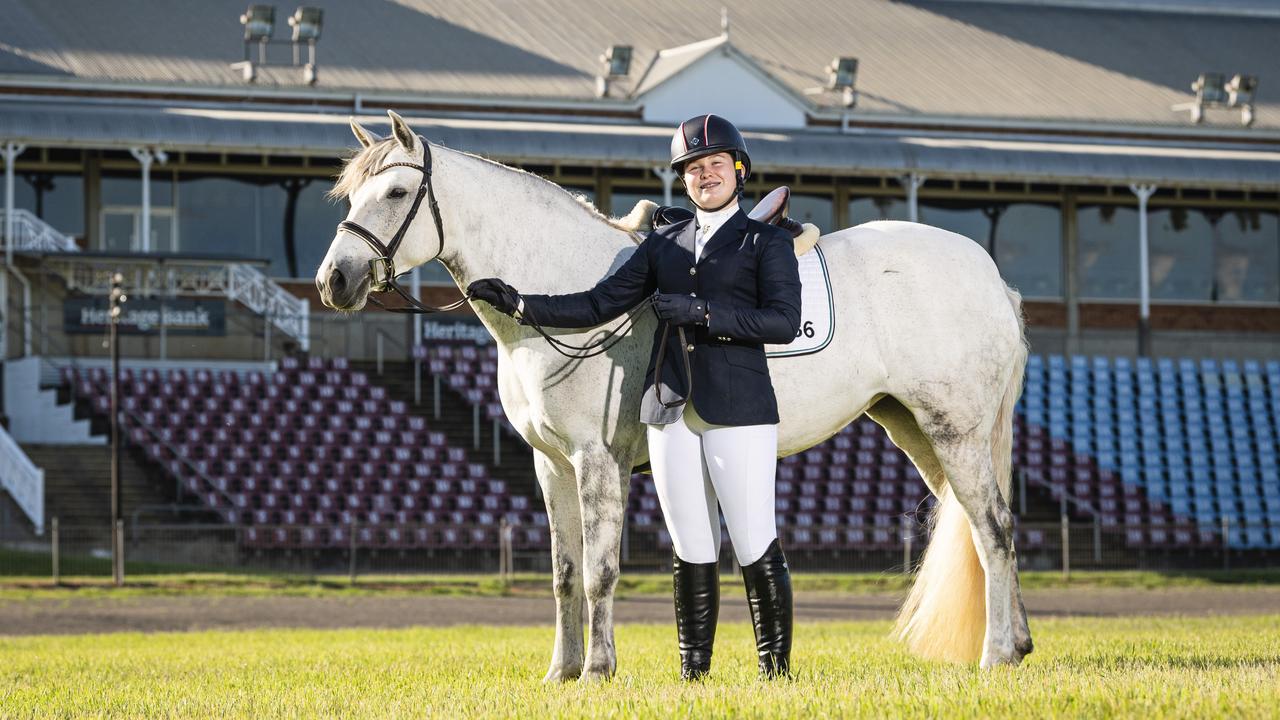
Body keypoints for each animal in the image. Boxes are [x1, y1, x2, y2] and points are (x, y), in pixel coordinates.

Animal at [314, 109, 1034, 676]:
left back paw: (996, 654)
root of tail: (991, 276)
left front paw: (598, 670)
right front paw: (561, 672)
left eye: (397, 190)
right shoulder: (550, 465)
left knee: (993, 530)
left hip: (954, 431)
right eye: (350, 195)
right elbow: (565, 574)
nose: (334, 281)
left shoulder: (596, 460)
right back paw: (1018, 644)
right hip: (916, 430)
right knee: (979, 530)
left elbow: (601, 569)